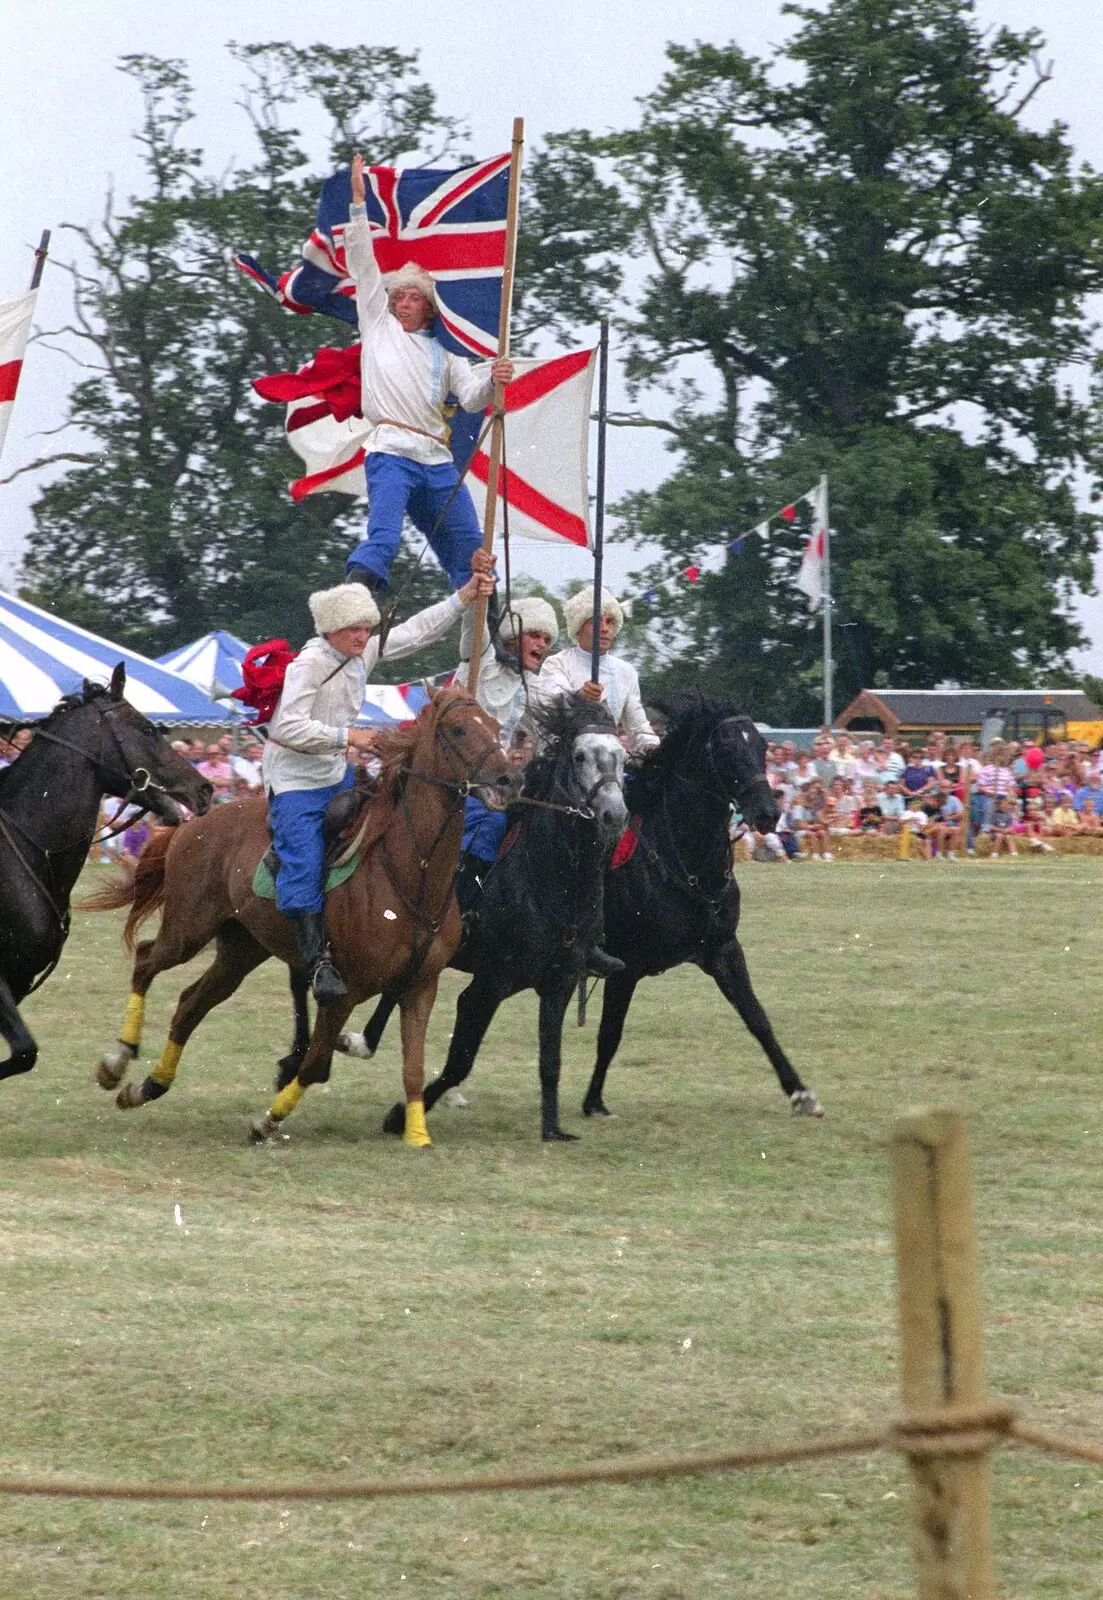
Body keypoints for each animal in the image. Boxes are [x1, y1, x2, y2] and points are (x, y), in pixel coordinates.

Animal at [89, 681, 512, 1145]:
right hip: (188, 930)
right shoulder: (345, 990)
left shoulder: (421, 986)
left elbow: (412, 1068)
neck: (410, 873)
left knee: (189, 1006)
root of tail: (191, 822)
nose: (511, 778)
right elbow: (314, 1064)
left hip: (241, 948)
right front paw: (267, 1121)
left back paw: (148, 1086)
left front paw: (416, 1134)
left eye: (496, 727)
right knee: (147, 960)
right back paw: (117, 1060)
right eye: (458, 730)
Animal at [318, 697, 627, 1139]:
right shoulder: (490, 983)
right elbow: (459, 1060)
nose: (613, 815)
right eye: (580, 756)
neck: (551, 880)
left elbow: (550, 1060)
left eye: (623, 758)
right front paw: (400, 1115)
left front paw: (552, 1129)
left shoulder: (561, 982)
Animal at [579, 694, 819, 1120]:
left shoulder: (723, 951)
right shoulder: (625, 966)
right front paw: (593, 1101)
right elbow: (610, 1033)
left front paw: (799, 1091)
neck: (682, 861)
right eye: (726, 747)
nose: (768, 813)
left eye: (762, 746)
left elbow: (757, 1017)